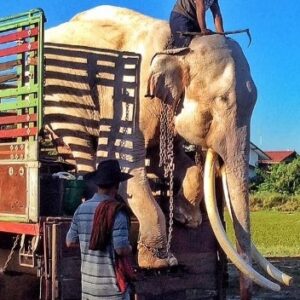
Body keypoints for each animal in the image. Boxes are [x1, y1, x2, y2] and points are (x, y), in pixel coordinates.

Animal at [43, 5, 292, 296]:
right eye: (222, 100)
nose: (289, 281)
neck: (178, 48)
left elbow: (173, 161)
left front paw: (189, 220)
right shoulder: (129, 93)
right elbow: (124, 159)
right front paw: (162, 261)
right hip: (60, 99)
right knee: (80, 142)